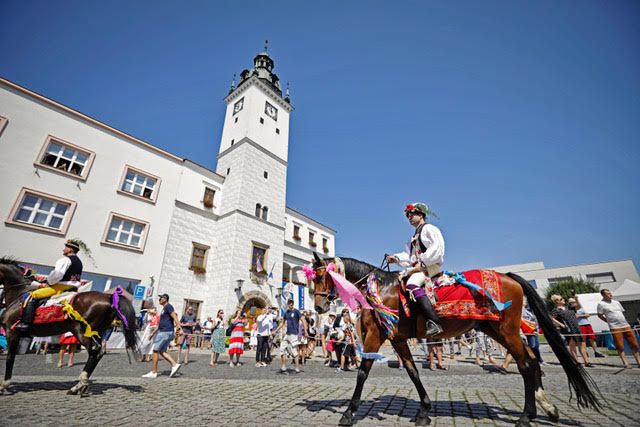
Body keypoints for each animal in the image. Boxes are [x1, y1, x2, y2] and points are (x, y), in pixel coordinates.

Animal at [0, 256, 139, 396]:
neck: (18, 295)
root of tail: (110, 297)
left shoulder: (12, 333)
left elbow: (10, 357)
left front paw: (4, 385)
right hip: (97, 332)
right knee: (99, 352)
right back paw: (80, 386)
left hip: (81, 332)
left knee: (95, 351)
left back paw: (79, 385)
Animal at [312, 254, 604, 427]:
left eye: (321, 275)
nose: (318, 307)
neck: (381, 289)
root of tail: (508, 276)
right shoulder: (397, 340)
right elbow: (413, 371)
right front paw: (424, 411)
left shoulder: (375, 336)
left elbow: (362, 373)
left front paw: (349, 413)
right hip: (496, 331)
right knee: (531, 361)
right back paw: (544, 408)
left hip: (507, 331)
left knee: (526, 365)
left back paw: (525, 416)